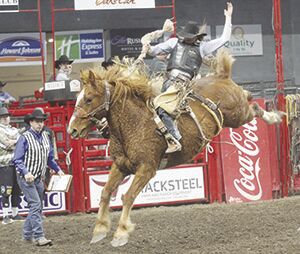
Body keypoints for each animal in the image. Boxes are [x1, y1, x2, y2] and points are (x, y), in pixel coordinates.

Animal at [67, 48, 284, 247]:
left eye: (88, 99)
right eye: (78, 98)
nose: (72, 130)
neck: (135, 124)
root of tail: (221, 76)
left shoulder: (147, 168)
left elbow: (127, 196)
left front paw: (121, 233)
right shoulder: (121, 166)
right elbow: (105, 192)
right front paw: (99, 230)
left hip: (238, 115)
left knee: (254, 108)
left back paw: (274, 116)